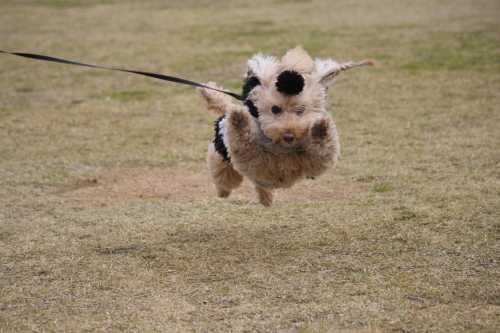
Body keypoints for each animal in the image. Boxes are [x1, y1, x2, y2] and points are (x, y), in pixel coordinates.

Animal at [195, 45, 372, 206]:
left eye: (301, 109)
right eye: (275, 109)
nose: (289, 134)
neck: (283, 147)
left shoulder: (314, 162)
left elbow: (323, 152)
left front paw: (321, 126)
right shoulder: (253, 160)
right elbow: (244, 144)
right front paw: (239, 117)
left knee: (259, 185)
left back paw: (266, 200)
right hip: (223, 162)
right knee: (225, 179)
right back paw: (224, 192)